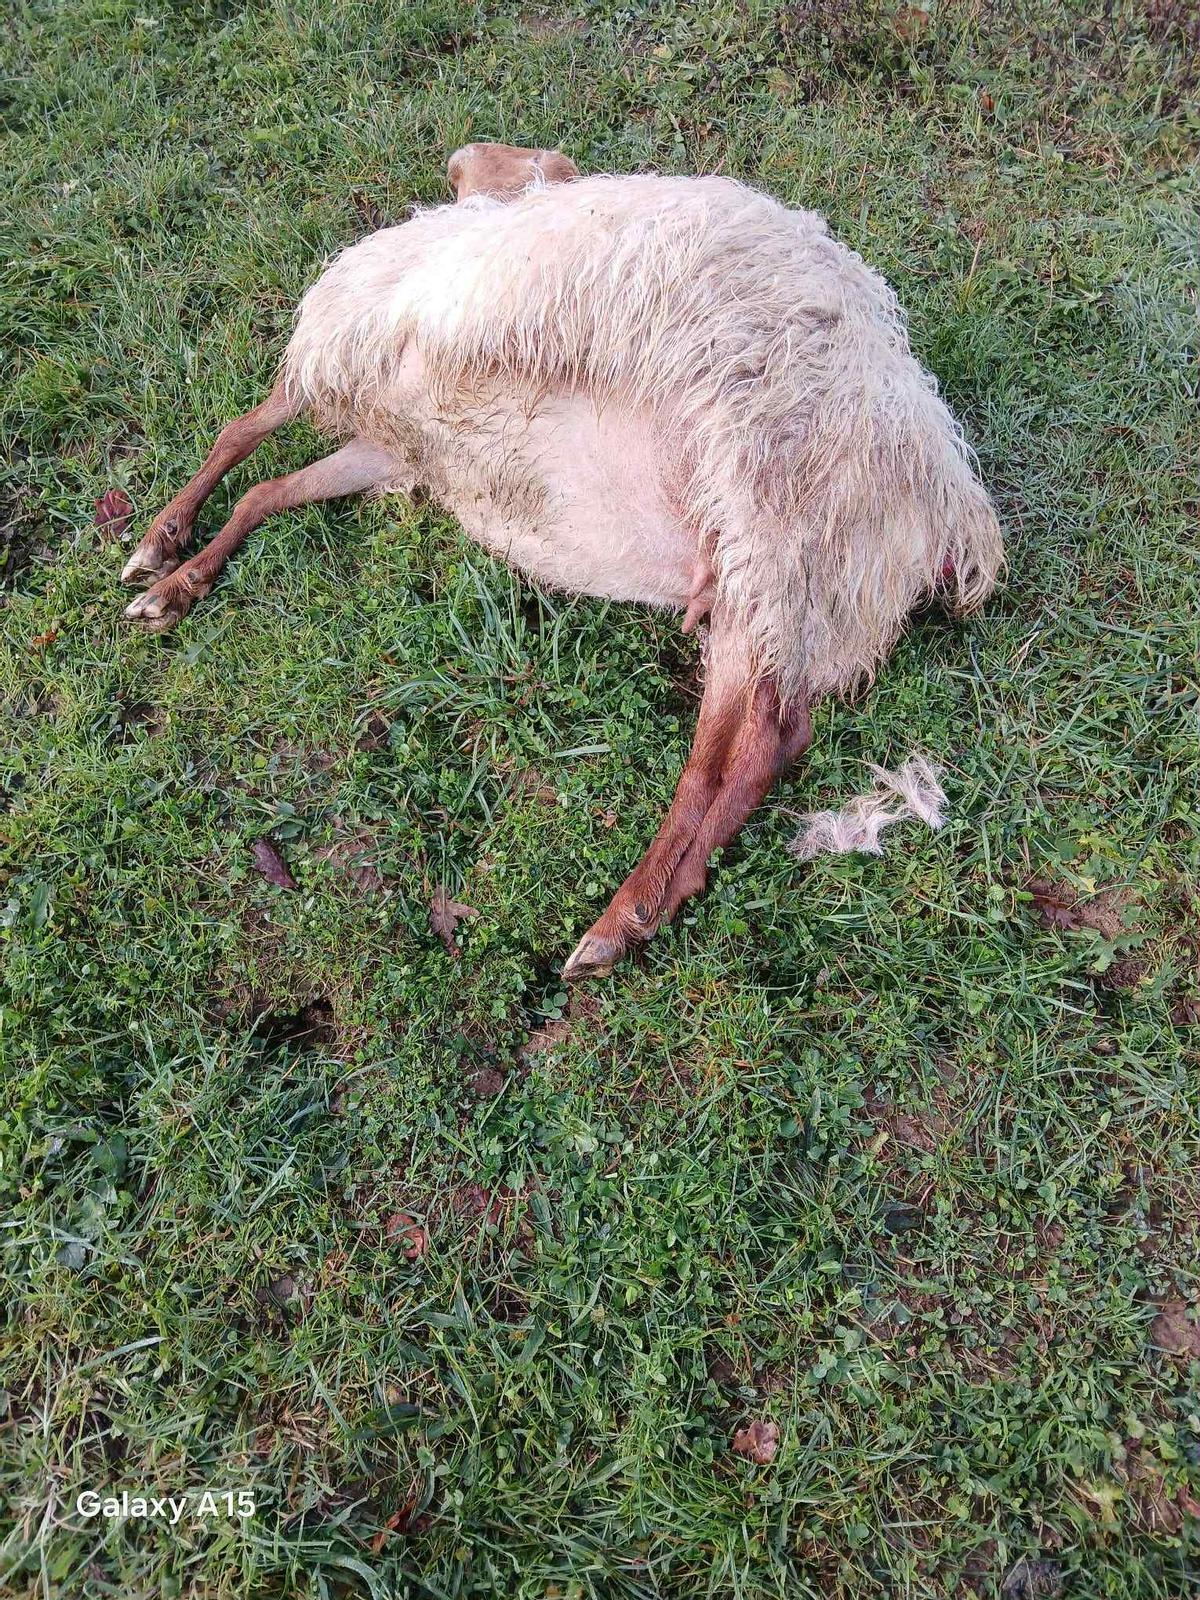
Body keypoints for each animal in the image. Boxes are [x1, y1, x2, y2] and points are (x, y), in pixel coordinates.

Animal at [121, 142, 1003, 980]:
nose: (463, 164)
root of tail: (952, 512)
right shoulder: (387, 438)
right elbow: (263, 486)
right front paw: (174, 573)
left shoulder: (347, 349)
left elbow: (243, 428)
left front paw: (158, 549)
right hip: (766, 583)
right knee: (760, 741)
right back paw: (649, 907)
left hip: (777, 530)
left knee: (755, 745)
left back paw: (618, 920)